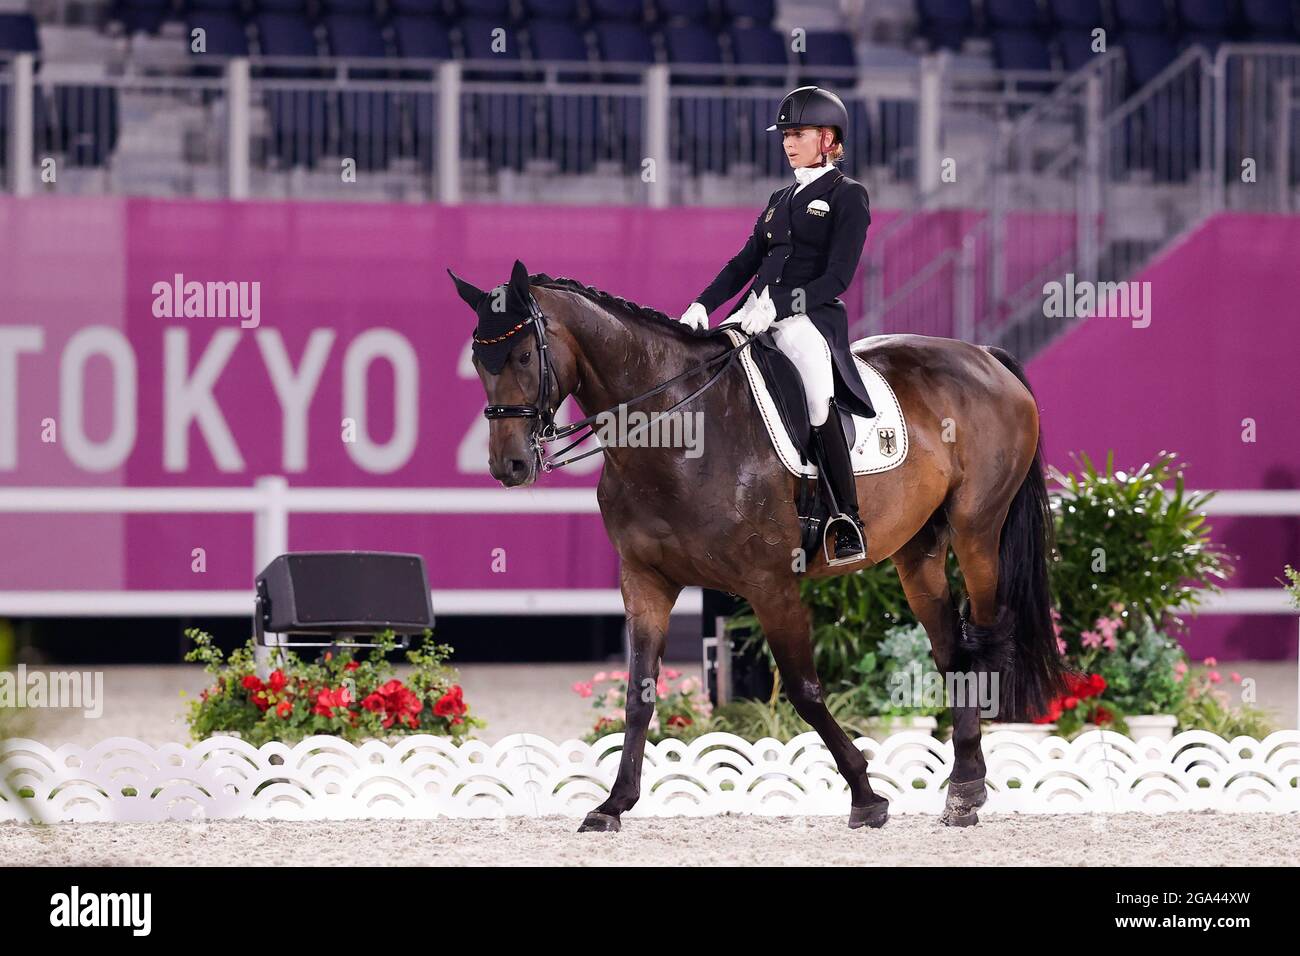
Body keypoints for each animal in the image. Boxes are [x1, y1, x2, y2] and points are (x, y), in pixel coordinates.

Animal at [447, 260, 1066, 832]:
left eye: (523, 356)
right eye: (478, 360)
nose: (509, 466)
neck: (677, 428)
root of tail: (983, 355)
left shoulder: (771, 585)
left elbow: (805, 690)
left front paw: (866, 797)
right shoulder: (645, 580)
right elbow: (639, 694)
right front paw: (612, 805)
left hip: (976, 530)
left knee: (985, 636)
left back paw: (967, 789)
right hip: (918, 550)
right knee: (952, 651)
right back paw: (964, 787)